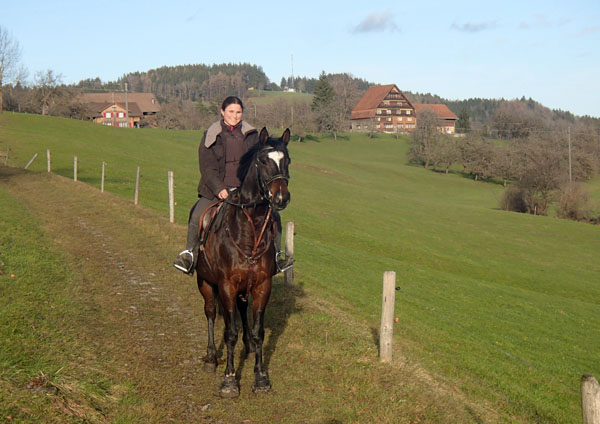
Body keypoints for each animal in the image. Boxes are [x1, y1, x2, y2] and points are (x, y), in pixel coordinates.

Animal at [197, 126, 290, 398]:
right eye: (263, 161)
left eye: (288, 161)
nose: (281, 197)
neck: (249, 231)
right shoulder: (226, 286)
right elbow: (230, 333)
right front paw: (229, 380)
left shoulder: (261, 286)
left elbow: (258, 332)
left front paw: (260, 378)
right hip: (205, 282)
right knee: (210, 312)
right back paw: (210, 358)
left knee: (240, 311)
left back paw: (247, 349)